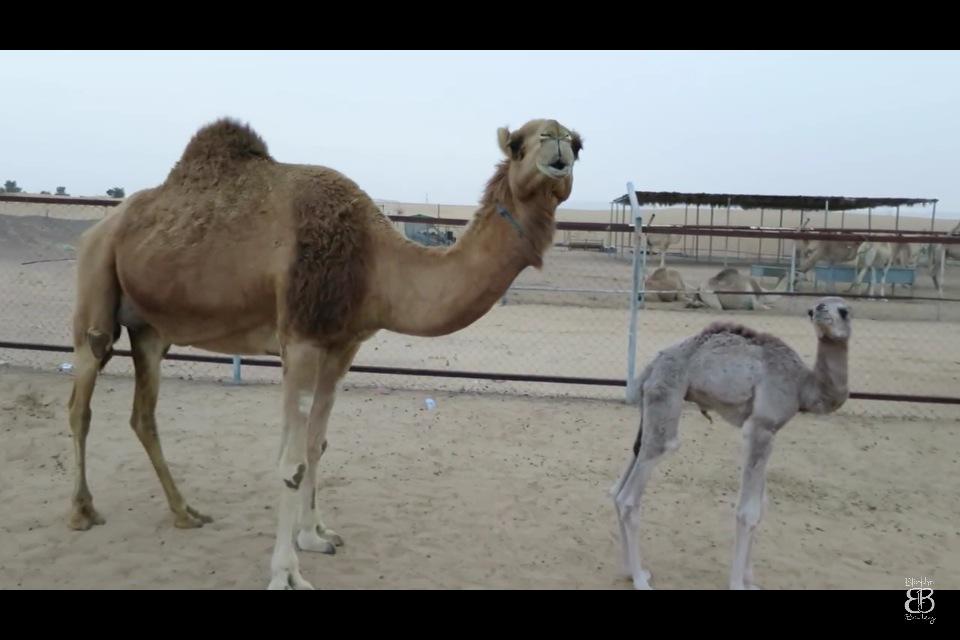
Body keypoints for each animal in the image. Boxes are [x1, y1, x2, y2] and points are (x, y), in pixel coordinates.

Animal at [66, 117, 582, 590]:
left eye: (578, 143)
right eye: (519, 145)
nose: (557, 142)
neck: (374, 262)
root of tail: (101, 225)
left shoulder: (342, 344)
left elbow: (317, 444)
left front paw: (315, 535)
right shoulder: (300, 339)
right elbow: (291, 463)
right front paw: (286, 573)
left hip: (151, 329)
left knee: (143, 414)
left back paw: (185, 511)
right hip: (96, 286)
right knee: (81, 399)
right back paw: (82, 512)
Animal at [614, 296, 851, 590]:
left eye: (844, 311)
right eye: (817, 307)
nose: (819, 312)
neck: (803, 387)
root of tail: (651, 367)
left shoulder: (770, 432)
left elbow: (762, 505)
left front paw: (750, 578)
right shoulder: (760, 426)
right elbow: (748, 512)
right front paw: (738, 583)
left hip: (649, 409)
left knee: (620, 485)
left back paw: (631, 570)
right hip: (667, 397)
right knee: (631, 495)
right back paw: (639, 579)